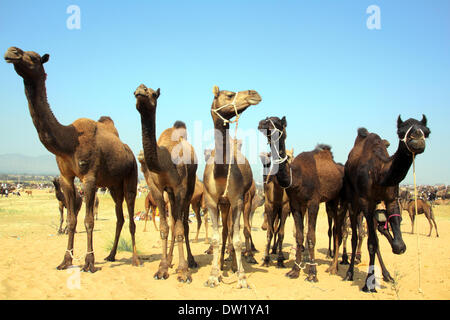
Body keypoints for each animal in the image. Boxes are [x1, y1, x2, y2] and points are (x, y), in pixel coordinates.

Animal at [4, 47, 139, 272]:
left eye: (33, 57)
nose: (11, 52)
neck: (69, 142)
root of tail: (130, 153)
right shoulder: (66, 178)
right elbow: (72, 219)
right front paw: (66, 260)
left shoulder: (90, 178)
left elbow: (88, 220)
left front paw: (89, 263)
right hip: (113, 185)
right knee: (119, 217)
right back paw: (111, 255)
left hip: (131, 176)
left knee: (129, 213)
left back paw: (136, 259)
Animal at [134, 83, 197, 282]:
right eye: (135, 92)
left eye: (154, 94)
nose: (141, 90)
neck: (164, 161)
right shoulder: (156, 188)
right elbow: (164, 227)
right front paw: (162, 268)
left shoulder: (180, 187)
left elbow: (179, 228)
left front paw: (183, 271)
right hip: (170, 193)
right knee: (173, 220)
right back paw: (170, 261)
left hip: (190, 187)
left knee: (183, 223)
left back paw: (191, 261)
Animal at [203, 84, 262, 288]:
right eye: (229, 95)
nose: (254, 93)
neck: (220, 174)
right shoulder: (212, 201)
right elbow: (215, 239)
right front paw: (213, 275)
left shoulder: (237, 200)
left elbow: (236, 240)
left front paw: (242, 278)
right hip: (223, 204)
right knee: (224, 232)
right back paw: (221, 264)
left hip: (237, 203)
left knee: (235, 230)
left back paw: (234, 266)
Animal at [258, 116, 342, 282]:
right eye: (266, 118)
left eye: (277, 122)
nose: (261, 124)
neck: (296, 178)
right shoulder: (295, 204)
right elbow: (298, 236)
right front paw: (295, 270)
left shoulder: (313, 203)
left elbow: (310, 237)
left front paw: (312, 273)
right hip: (329, 202)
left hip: (339, 200)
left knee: (338, 231)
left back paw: (334, 267)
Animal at [342, 115, 428, 292]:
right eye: (401, 131)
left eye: (427, 131)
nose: (417, 138)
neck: (379, 172)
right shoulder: (366, 202)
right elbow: (371, 243)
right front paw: (368, 284)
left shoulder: (391, 199)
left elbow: (395, 241)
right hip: (352, 201)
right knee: (354, 236)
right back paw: (349, 273)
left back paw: (387, 275)